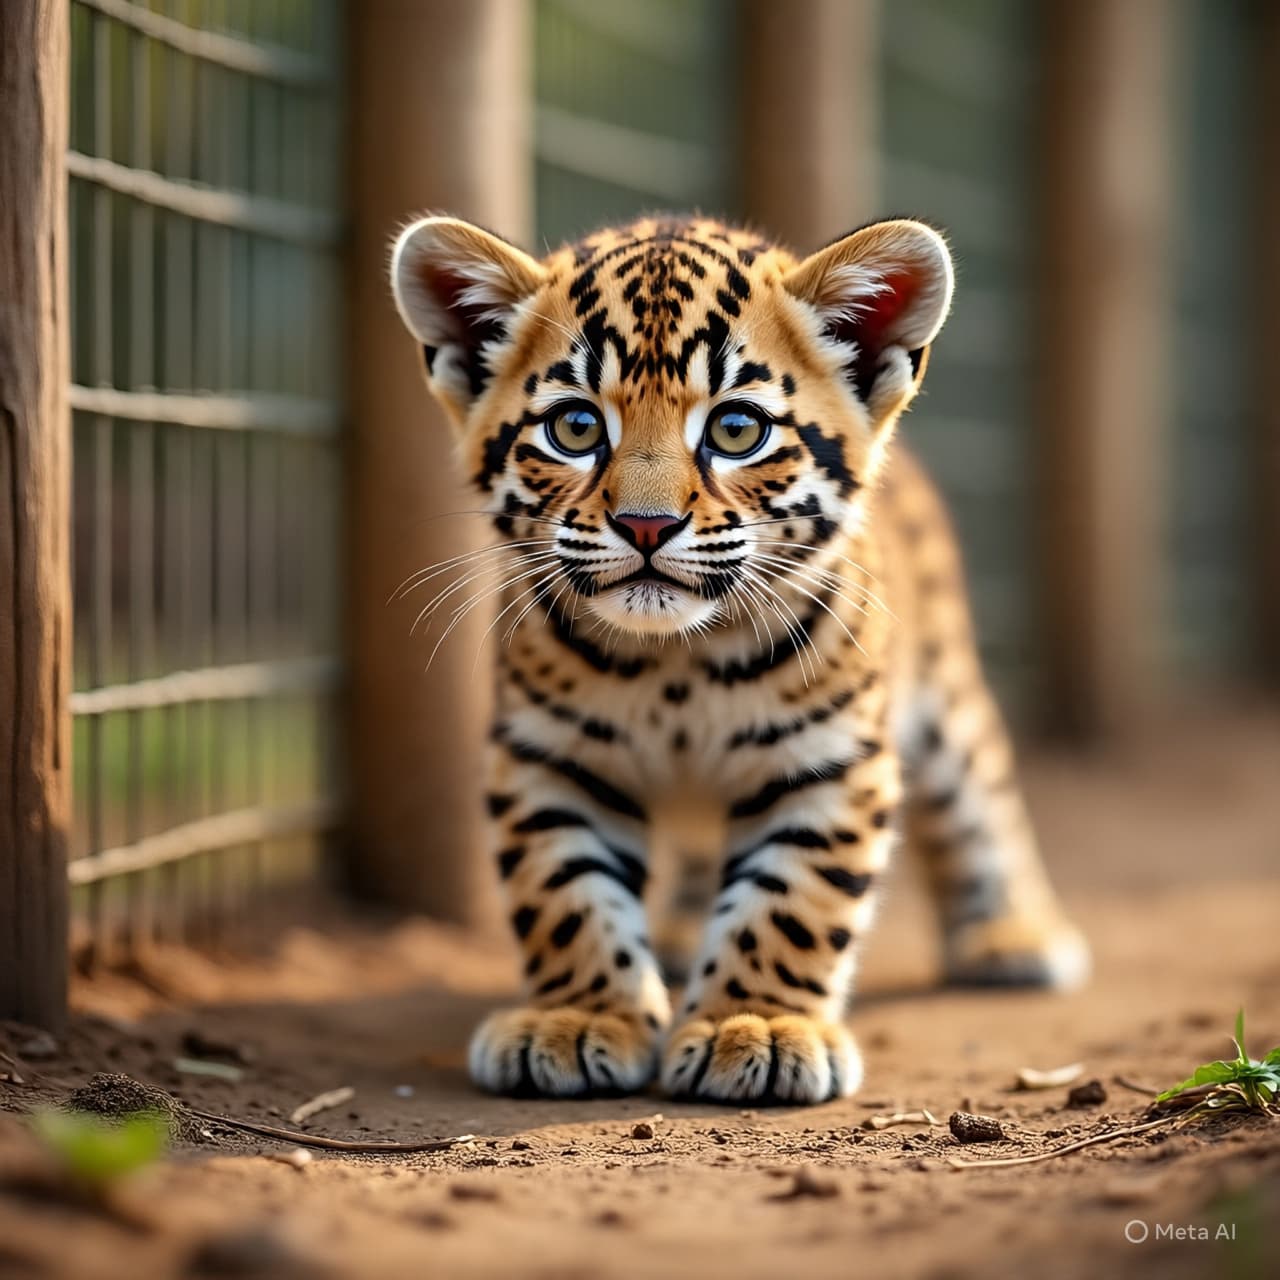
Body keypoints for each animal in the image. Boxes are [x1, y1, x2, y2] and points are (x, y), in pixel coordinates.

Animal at [389, 212, 1089, 1105]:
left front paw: (754, 1026)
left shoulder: (830, 757)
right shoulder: (549, 754)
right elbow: (566, 891)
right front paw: (579, 1018)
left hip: (948, 699)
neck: (676, 667)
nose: (646, 526)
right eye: (574, 428)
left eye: (736, 430)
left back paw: (1013, 936)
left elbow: (790, 901)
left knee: (982, 803)